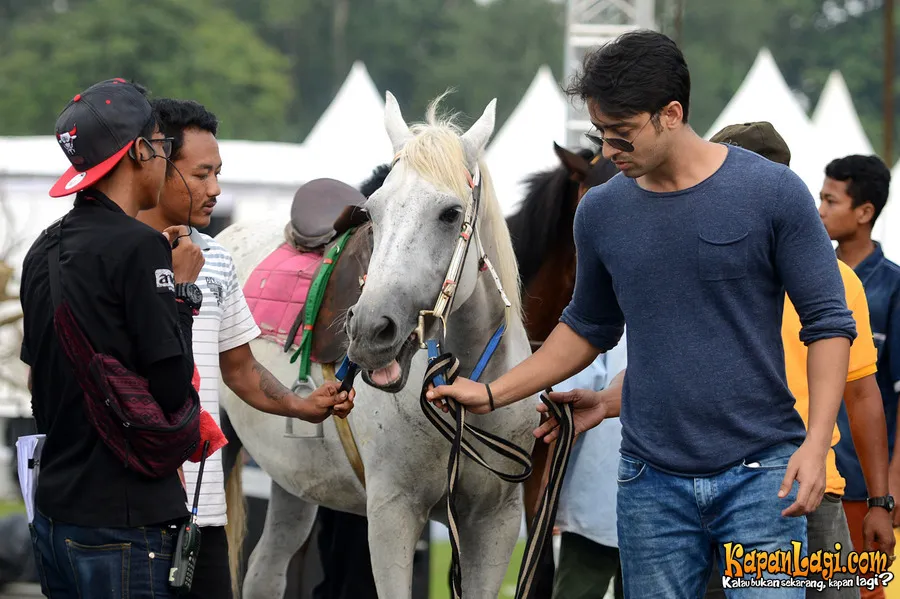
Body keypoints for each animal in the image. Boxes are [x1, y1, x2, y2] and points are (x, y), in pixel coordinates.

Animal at [220, 92, 540, 599]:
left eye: (450, 213)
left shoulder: (494, 523)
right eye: (372, 212)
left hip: (293, 484)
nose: (370, 331)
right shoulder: (392, 514)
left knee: (264, 572)